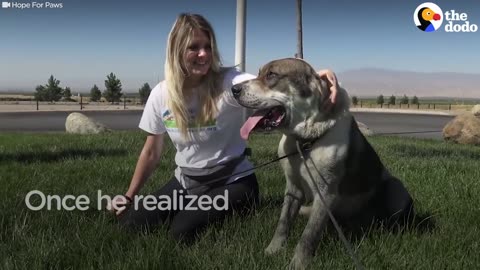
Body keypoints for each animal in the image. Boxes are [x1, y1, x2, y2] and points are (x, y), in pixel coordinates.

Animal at [232, 59, 412, 270]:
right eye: (260, 73)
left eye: (272, 75)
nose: (234, 89)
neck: (305, 142)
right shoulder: (292, 188)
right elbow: (283, 223)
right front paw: (272, 250)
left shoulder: (325, 194)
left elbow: (309, 235)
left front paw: (298, 264)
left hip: (396, 188)